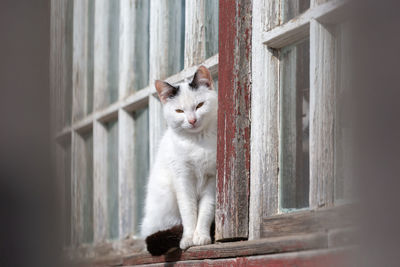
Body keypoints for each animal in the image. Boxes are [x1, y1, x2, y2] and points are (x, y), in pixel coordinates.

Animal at [140, 66, 217, 252]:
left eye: (200, 105)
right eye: (179, 111)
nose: (192, 120)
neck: (197, 142)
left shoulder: (213, 178)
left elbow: (206, 209)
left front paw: (201, 236)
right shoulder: (182, 177)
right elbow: (188, 210)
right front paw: (188, 238)